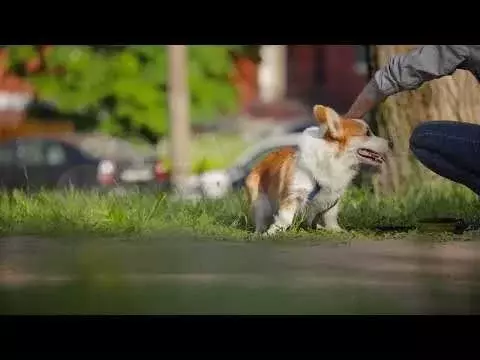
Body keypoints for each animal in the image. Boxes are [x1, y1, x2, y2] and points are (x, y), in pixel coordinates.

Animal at [246, 105, 388, 233]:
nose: (390, 142)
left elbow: (331, 216)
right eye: (368, 133)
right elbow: (285, 219)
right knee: (260, 219)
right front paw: (272, 232)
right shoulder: (293, 195)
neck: (335, 160)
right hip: (259, 202)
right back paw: (259, 233)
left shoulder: (333, 198)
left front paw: (335, 229)